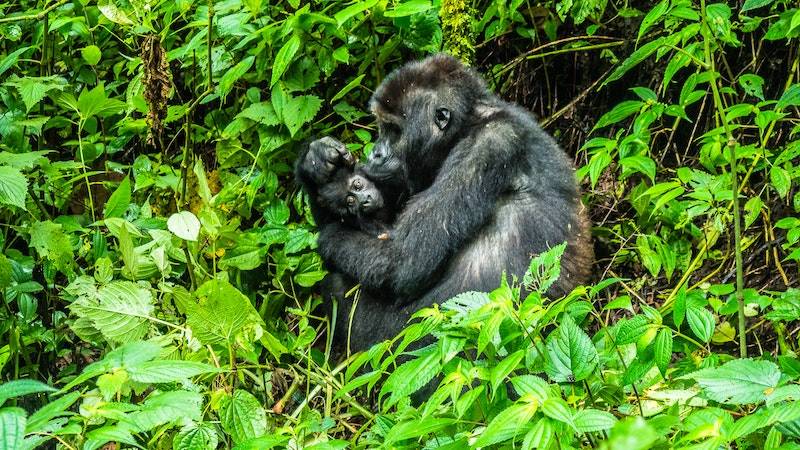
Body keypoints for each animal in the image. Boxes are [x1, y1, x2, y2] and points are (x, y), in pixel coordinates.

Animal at [296, 54, 592, 354]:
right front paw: (316, 163)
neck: (468, 125)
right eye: (382, 129)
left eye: (393, 130)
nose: (375, 154)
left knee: (339, 286)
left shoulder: (488, 146)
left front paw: (328, 235)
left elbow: (402, 261)